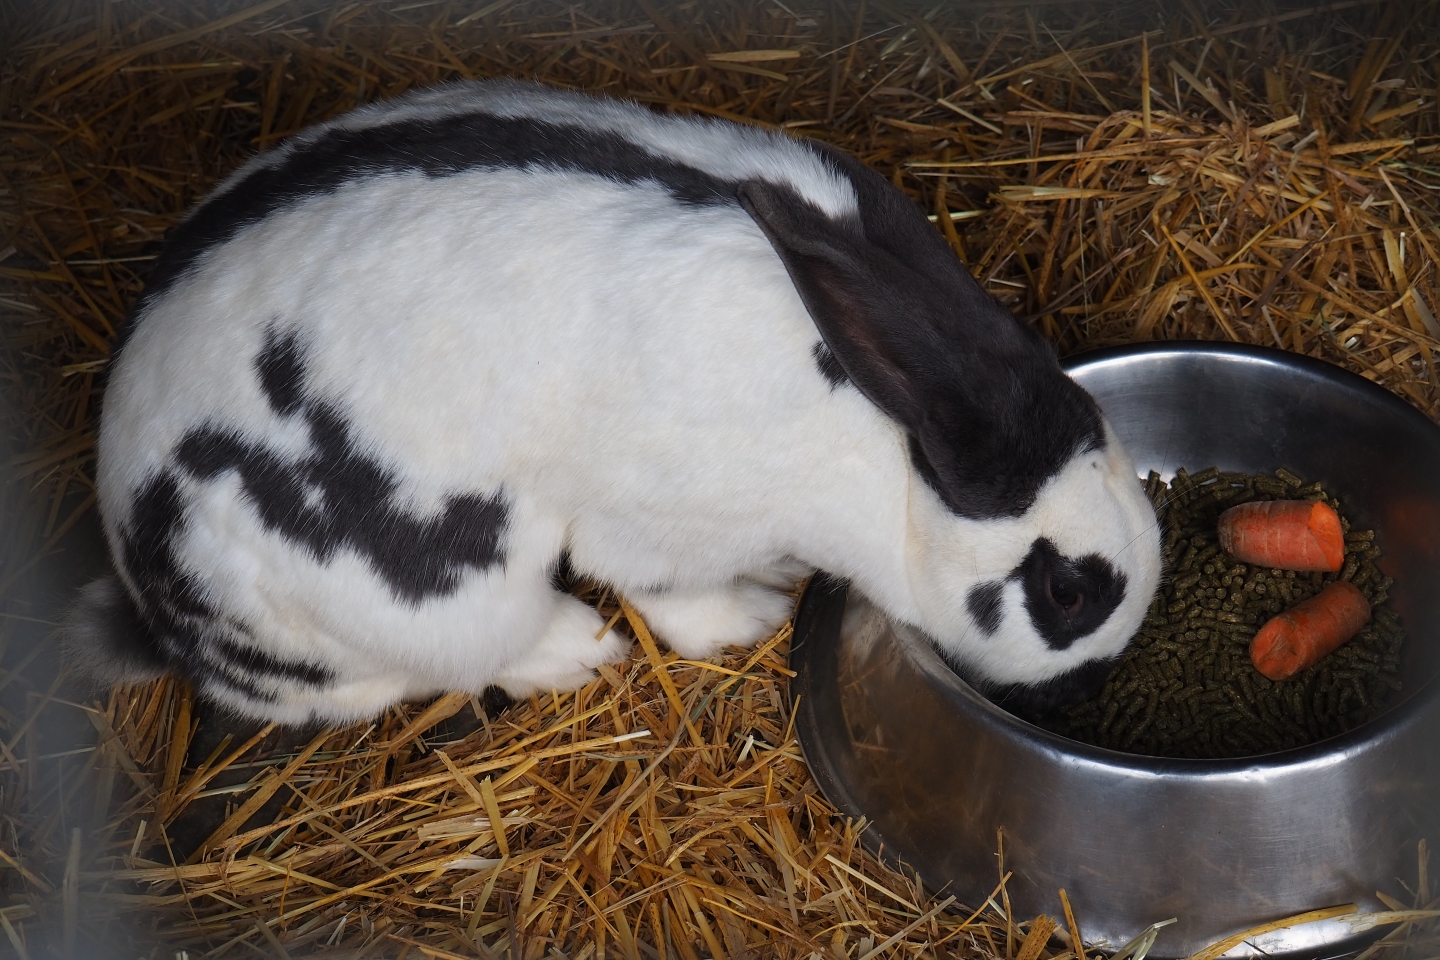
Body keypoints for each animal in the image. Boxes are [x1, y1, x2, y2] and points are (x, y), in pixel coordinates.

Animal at [66, 79, 1162, 725]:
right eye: (1068, 591)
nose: (1090, 685)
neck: (887, 452)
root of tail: (160, 617)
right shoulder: (662, 520)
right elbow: (667, 591)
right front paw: (751, 615)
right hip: (414, 599)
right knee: (430, 664)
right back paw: (577, 652)